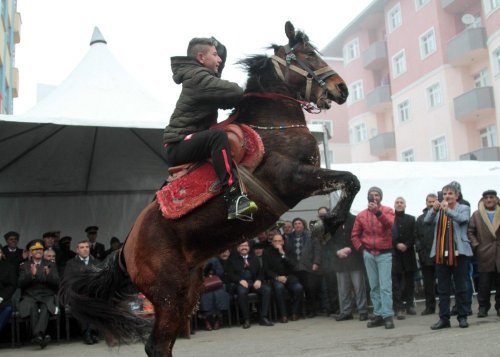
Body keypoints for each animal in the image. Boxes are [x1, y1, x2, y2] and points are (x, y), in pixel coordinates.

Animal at [60, 22, 360, 356]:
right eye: (307, 54)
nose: (342, 89)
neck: (273, 127)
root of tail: (126, 250)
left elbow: (351, 181)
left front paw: (328, 223)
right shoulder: (294, 178)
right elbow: (350, 179)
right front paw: (326, 225)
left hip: (189, 290)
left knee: (161, 344)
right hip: (169, 295)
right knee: (156, 345)